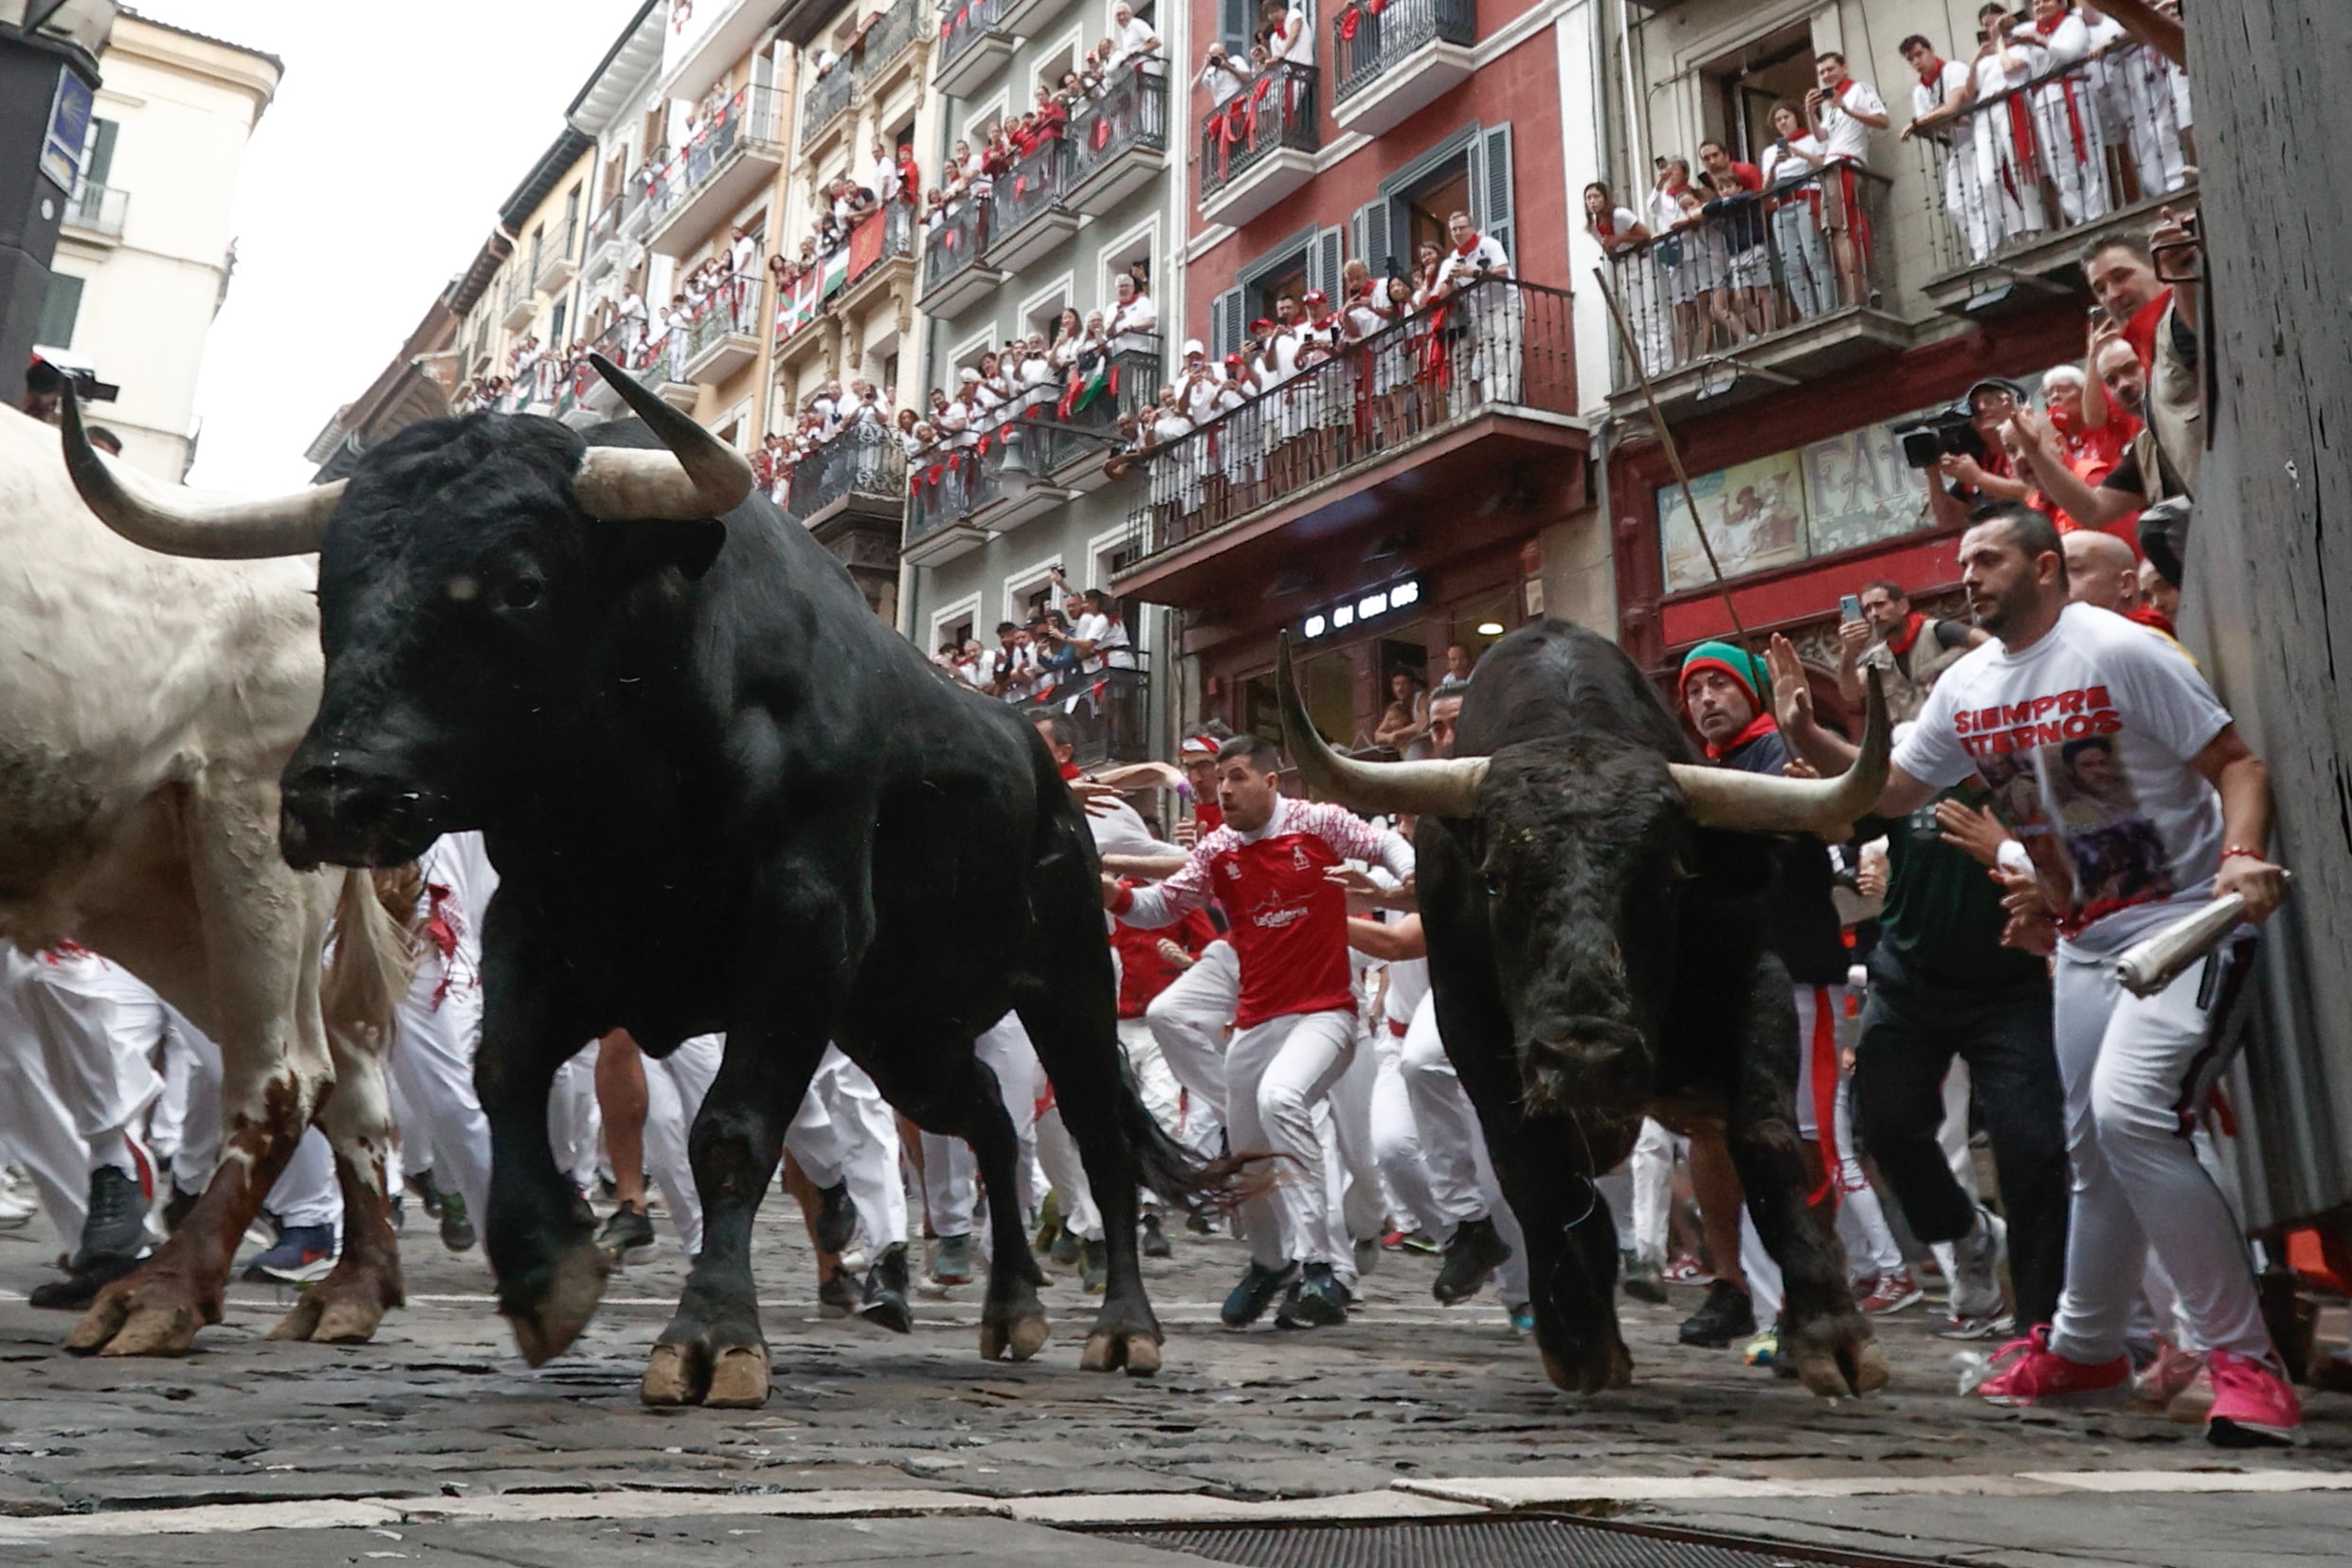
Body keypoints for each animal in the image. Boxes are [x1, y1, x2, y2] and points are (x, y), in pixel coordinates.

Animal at [0, 399, 408, 1354]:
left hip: (254, 836)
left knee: (286, 1072)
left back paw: (163, 1291)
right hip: (150, 885)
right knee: (346, 1064)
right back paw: (352, 1288)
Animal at [59, 359, 1251, 1410]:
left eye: (522, 584)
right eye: (328, 585)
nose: (333, 793)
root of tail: (1057, 782)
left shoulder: (801, 932)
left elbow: (729, 1131)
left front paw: (713, 1335)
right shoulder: (543, 927)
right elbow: (502, 1072)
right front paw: (547, 1273)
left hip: (1065, 986)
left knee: (1098, 1138)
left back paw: (1122, 1324)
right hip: (904, 1026)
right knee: (993, 1123)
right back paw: (1011, 1306)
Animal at [1279, 621, 1900, 1400]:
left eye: (1670, 877)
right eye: (1494, 880)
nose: (1588, 1059)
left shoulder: (1755, 981)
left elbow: (1769, 1137)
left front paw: (1832, 1333)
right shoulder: (1476, 1036)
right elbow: (1535, 1170)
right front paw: (1577, 1336)